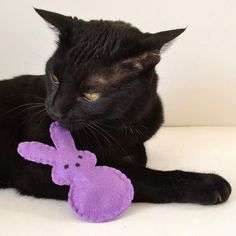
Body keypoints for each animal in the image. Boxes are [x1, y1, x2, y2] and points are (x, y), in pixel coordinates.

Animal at [0, 8, 231, 205]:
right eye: (55, 78)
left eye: (90, 94)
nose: (54, 110)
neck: (118, 124)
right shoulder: (39, 169)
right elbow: (138, 176)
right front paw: (209, 184)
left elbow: (139, 154)